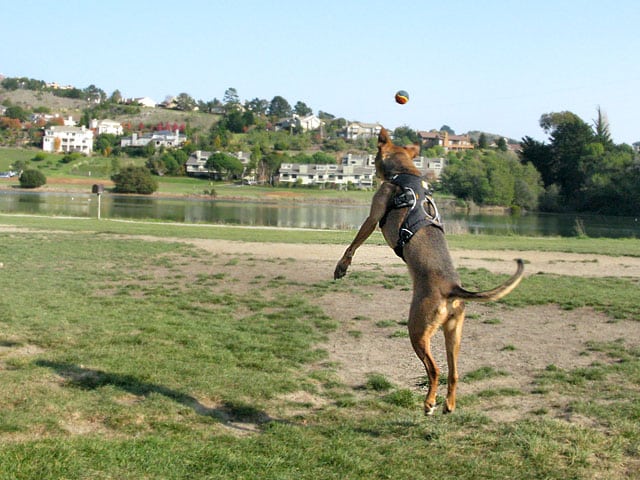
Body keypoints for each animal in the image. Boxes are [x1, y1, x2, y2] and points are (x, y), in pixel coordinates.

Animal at [332, 128, 524, 416]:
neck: (405, 173)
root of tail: (453, 290)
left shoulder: (373, 217)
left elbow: (353, 244)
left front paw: (342, 267)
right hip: (453, 333)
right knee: (454, 373)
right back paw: (448, 405)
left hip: (417, 329)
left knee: (435, 370)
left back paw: (429, 403)